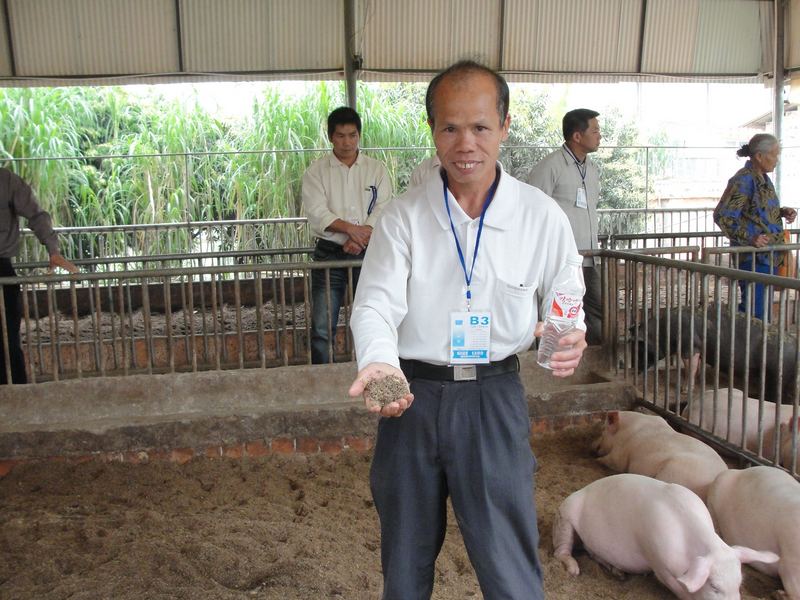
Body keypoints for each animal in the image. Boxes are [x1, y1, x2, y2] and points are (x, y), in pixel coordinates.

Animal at [553, 473, 779, 599]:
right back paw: (574, 570)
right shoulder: (658, 561)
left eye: (739, 583)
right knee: (561, 551)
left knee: (594, 553)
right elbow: (678, 588)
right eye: (714, 586)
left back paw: (619, 573)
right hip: (565, 517)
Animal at [594, 410, 728, 501]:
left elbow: (613, 461)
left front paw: (597, 460)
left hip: (673, 473)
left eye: (603, 430)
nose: (594, 448)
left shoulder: (620, 451)